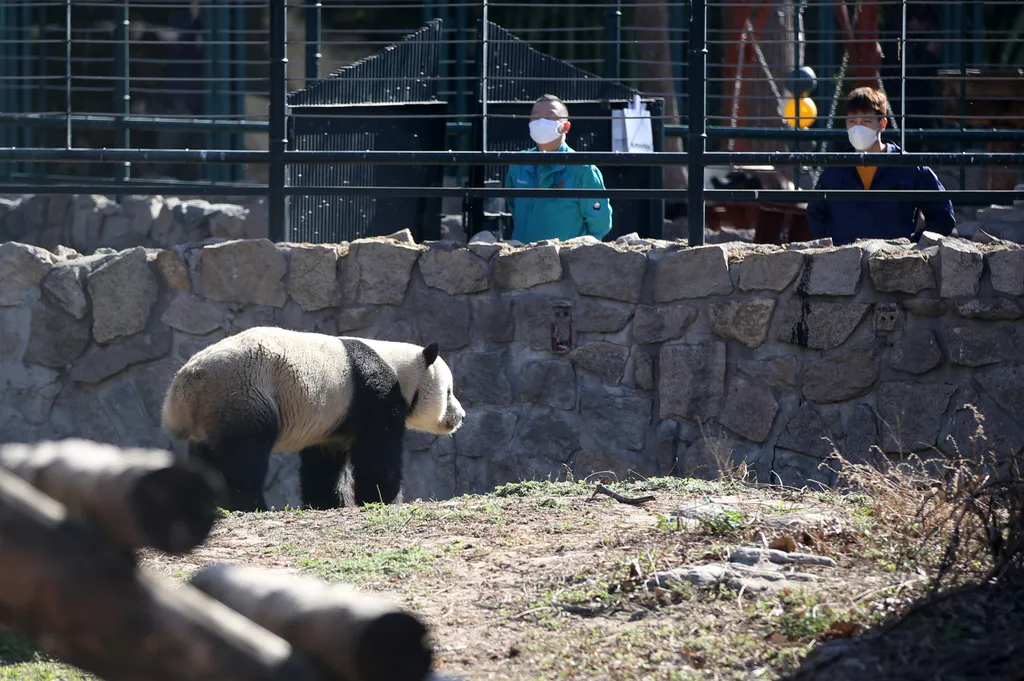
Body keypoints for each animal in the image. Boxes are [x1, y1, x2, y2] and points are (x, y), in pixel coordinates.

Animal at [161, 323, 466, 509]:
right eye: (449, 391)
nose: (460, 416)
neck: (398, 367)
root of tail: (183, 388)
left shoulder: (332, 417)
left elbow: (324, 463)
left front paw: (328, 503)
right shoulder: (373, 392)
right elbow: (378, 451)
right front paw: (384, 499)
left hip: (214, 410)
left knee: (206, 460)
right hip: (245, 392)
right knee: (244, 456)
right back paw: (251, 505)